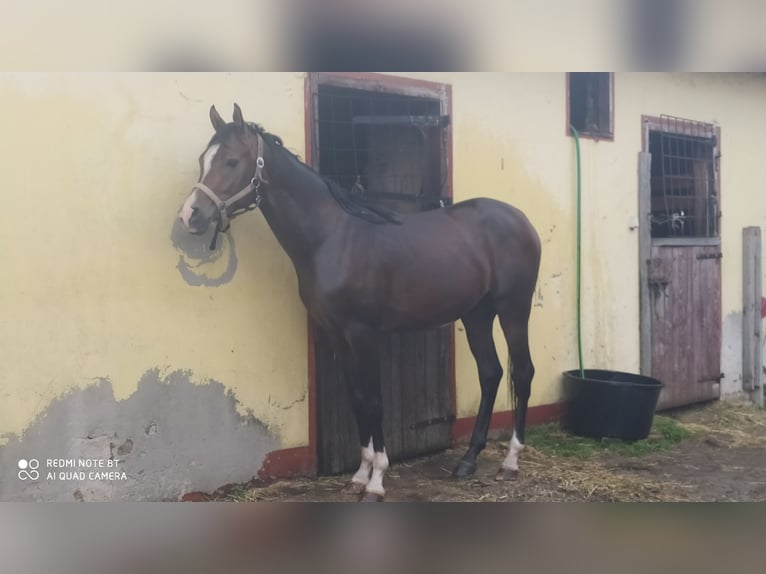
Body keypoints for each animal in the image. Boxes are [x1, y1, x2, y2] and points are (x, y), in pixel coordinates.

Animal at [178, 104, 541, 501]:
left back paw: (510, 462)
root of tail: (521, 220)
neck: (332, 237)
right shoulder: (337, 334)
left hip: (513, 310)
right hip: (476, 315)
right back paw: (468, 461)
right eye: (203, 159)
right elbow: (356, 399)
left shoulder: (364, 334)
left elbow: (374, 402)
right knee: (491, 374)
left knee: (523, 373)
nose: (191, 215)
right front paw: (359, 474)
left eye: (231, 161)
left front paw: (378, 481)